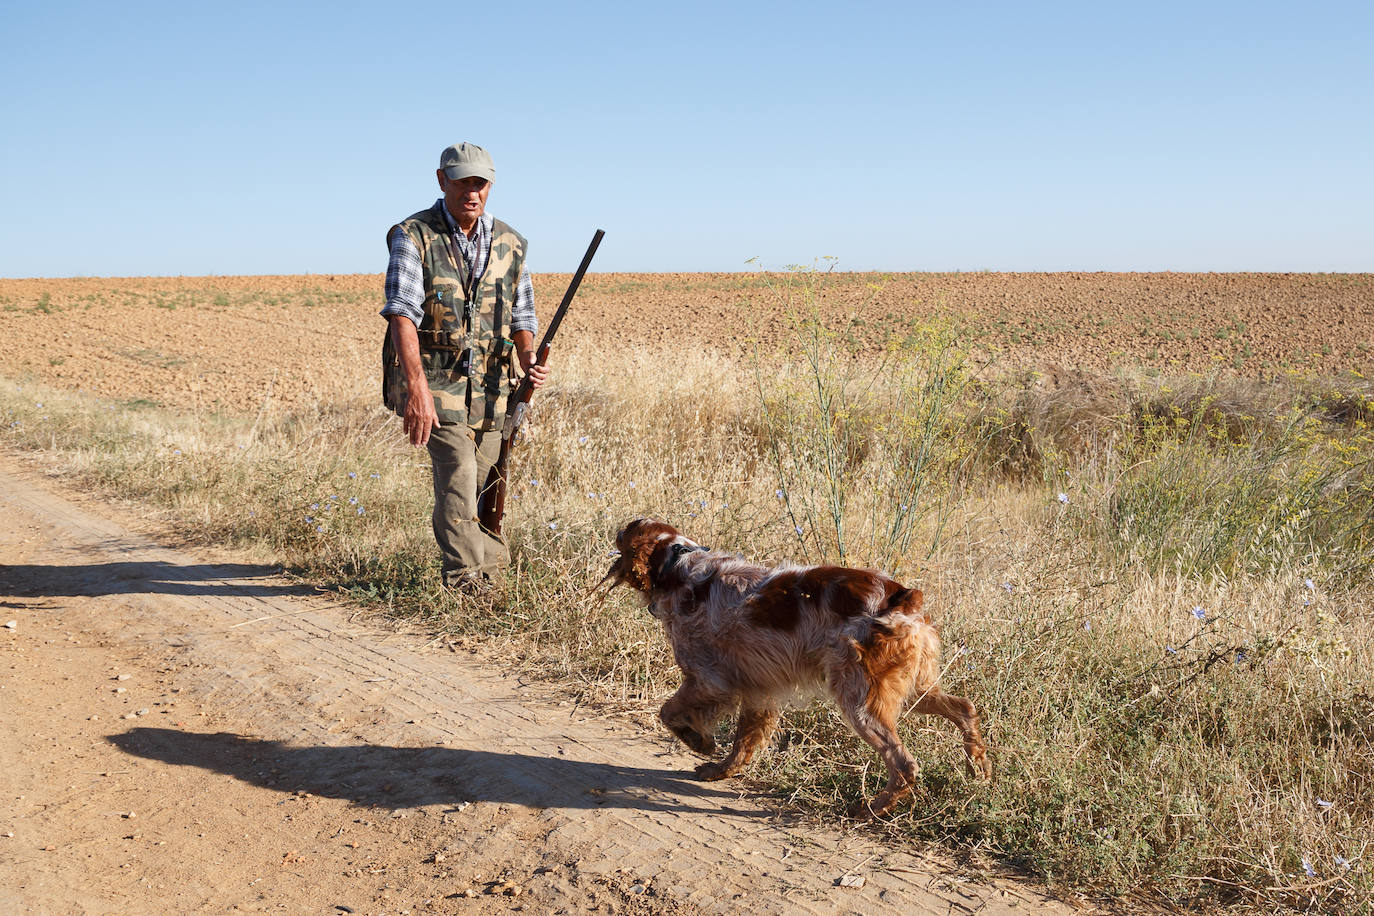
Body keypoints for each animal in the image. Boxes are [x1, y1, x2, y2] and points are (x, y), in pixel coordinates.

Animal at [596, 519, 994, 818]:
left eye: (622, 535)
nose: (612, 532)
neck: (680, 565)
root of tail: (904, 597)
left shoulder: (709, 679)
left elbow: (668, 712)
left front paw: (700, 742)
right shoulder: (757, 690)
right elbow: (743, 741)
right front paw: (721, 769)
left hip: (860, 701)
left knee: (905, 764)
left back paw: (871, 808)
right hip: (913, 690)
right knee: (964, 708)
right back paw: (979, 768)